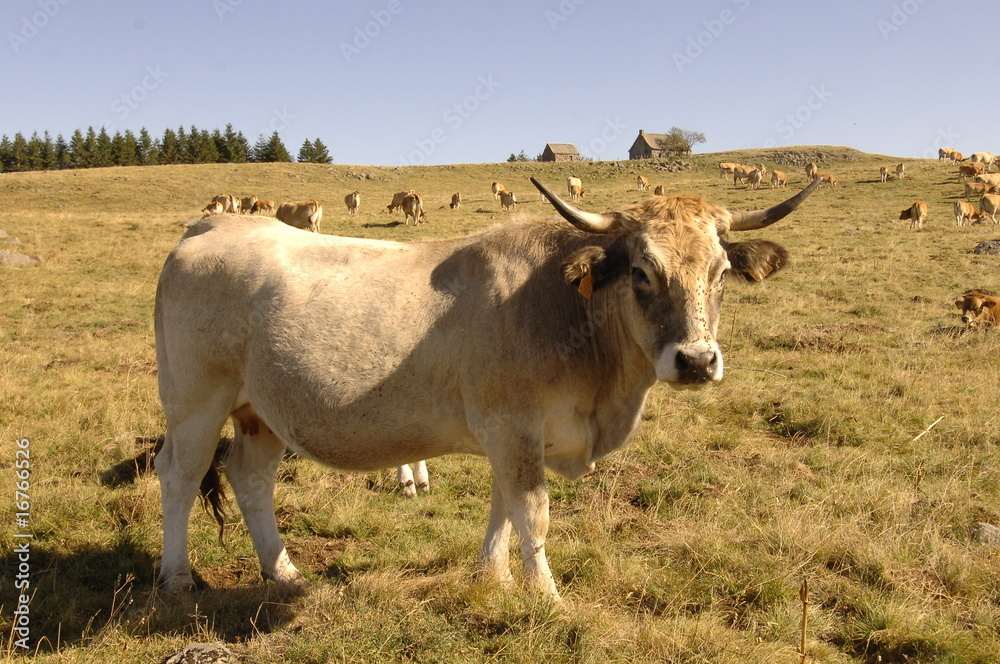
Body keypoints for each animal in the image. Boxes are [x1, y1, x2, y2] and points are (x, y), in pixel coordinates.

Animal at [148, 176, 820, 596]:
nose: (697, 360)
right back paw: (178, 577)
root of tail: (210, 224)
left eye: (721, 271)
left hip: (260, 410)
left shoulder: (513, 436)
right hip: (195, 403)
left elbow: (503, 509)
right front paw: (549, 598)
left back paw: (284, 573)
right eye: (640, 272)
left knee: (250, 478)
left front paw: (492, 579)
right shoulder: (511, 425)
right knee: (180, 474)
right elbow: (533, 514)